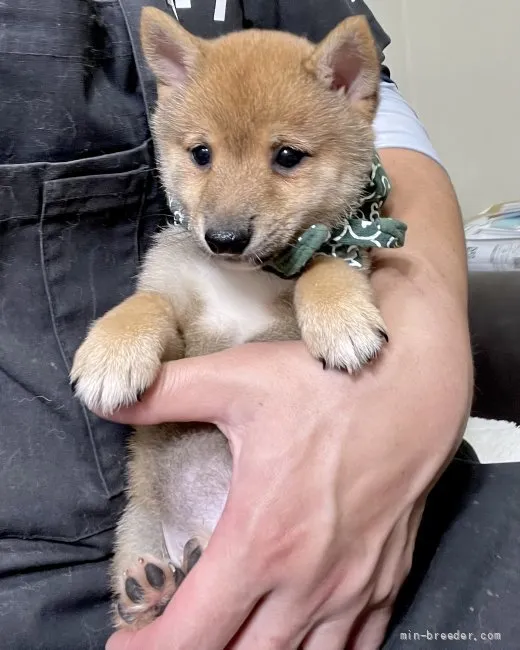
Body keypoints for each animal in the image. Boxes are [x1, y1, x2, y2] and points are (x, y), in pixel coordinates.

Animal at [71, 6, 388, 628]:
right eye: (201, 154)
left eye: (287, 157)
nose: (222, 238)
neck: (247, 278)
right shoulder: (180, 326)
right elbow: (147, 302)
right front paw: (110, 353)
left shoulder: (318, 272)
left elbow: (323, 263)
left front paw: (341, 319)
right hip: (138, 525)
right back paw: (154, 591)